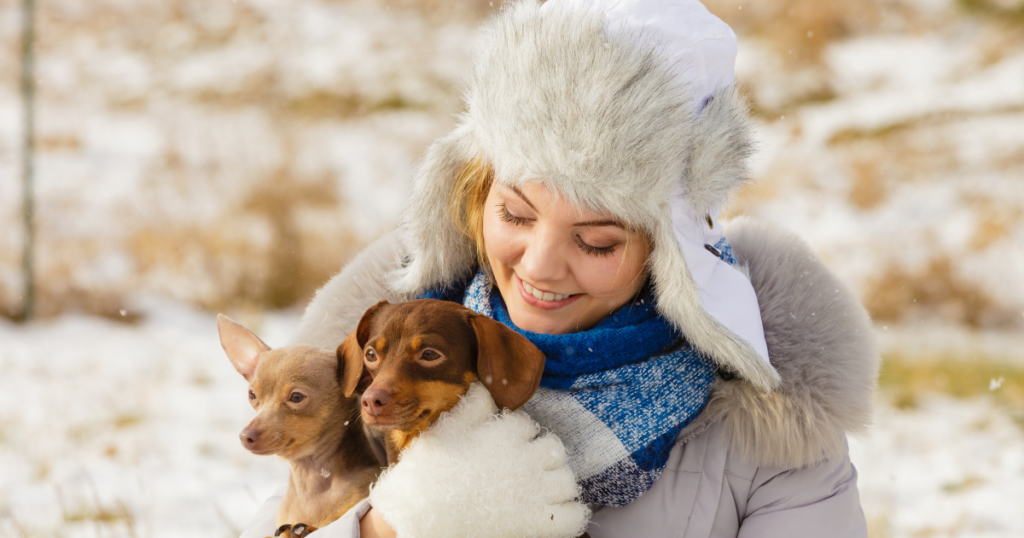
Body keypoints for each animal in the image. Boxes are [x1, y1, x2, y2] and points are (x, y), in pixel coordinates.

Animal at [218, 314, 382, 538]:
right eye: (252, 395)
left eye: (296, 397)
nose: (246, 436)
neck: (310, 479)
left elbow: (331, 521)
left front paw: (304, 528)